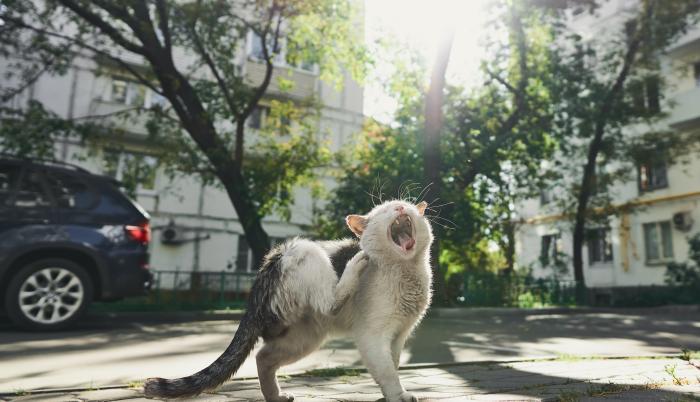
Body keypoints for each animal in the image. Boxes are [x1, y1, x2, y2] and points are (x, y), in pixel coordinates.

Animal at [144, 200, 432, 402]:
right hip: (306, 250)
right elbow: (386, 370)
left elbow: (391, 364)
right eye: (384, 211)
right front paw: (397, 395)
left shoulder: (399, 335)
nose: (399, 207)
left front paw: (389, 393)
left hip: (303, 337)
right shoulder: (372, 335)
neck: (405, 271)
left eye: (405, 205)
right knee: (330, 301)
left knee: (263, 357)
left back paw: (275, 396)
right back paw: (355, 264)